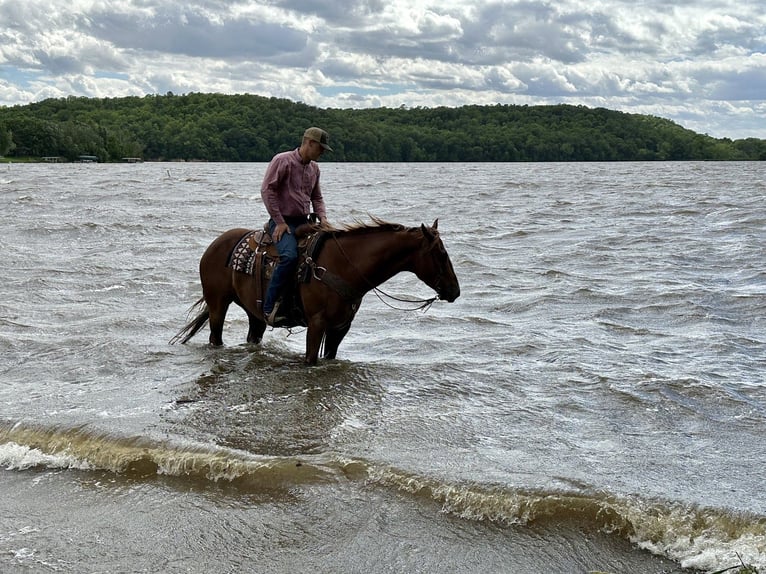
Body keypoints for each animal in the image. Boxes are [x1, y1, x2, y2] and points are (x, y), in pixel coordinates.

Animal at [172, 218, 462, 366]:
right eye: (440, 253)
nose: (455, 290)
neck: (345, 265)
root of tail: (215, 245)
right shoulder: (317, 322)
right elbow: (311, 358)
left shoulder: (340, 327)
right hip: (218, 304)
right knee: (215, 337)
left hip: (254, 313)